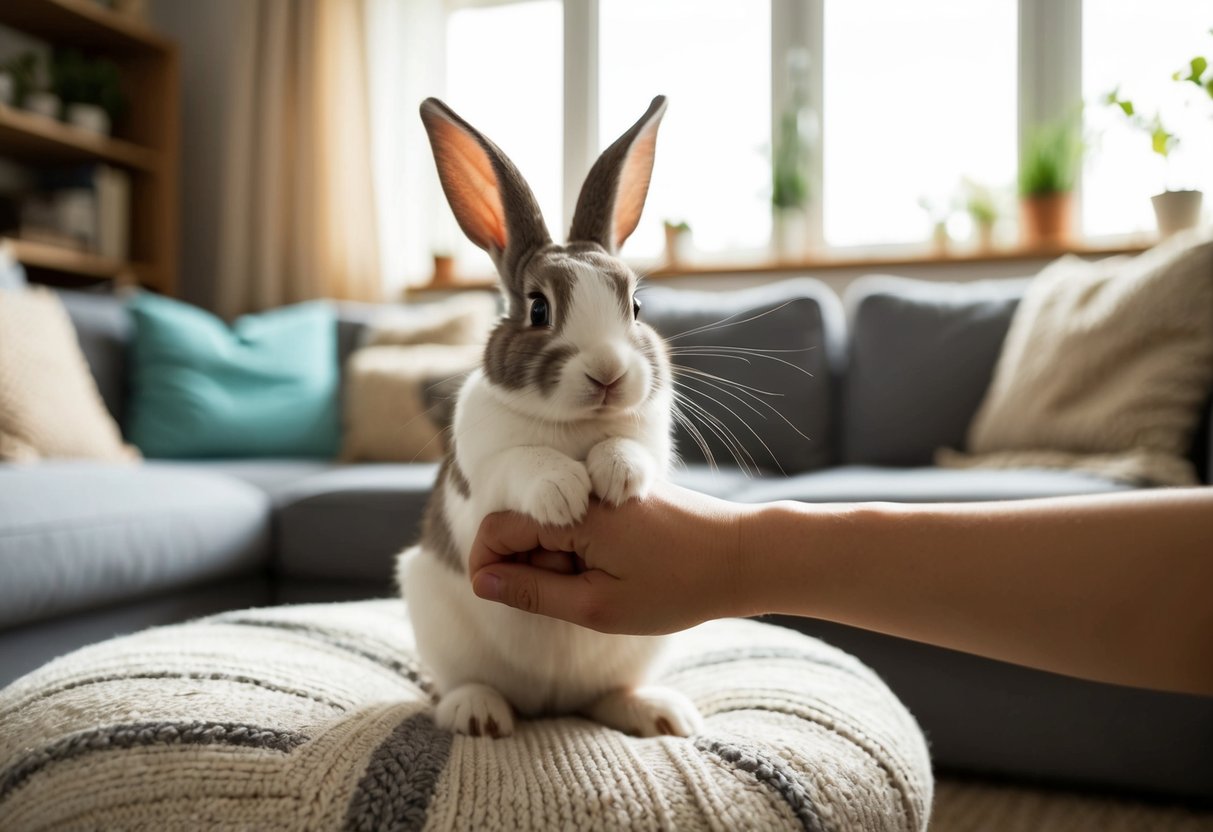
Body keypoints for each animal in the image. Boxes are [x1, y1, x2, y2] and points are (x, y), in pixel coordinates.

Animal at [396, 94, 703, 740]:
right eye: (538, 308)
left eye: (636, 305)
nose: (609, 373)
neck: (575, 426)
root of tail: (549, 704)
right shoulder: (484, 481)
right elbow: (523, 460)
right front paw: (564, 492)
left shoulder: (651, 441)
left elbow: (631, 451)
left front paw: (617, 477)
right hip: (429, 602)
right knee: (466, 683)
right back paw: (478, 714)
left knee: (605, 695)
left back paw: (658, 713)